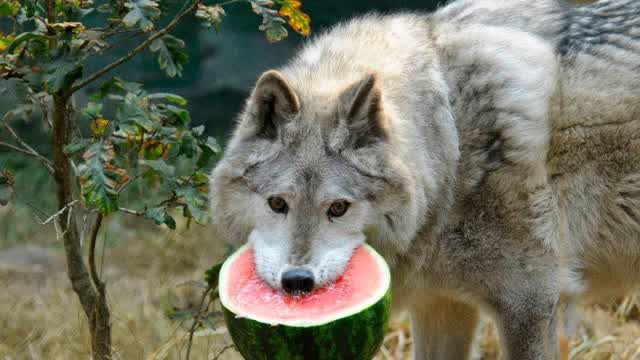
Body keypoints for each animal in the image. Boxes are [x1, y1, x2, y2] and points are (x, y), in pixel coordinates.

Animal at [210, 0, 640, 358]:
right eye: (277, 203)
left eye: (338, 208)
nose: (297, 282)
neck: (450, 146)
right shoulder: (440, 304)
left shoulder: (531, 304)